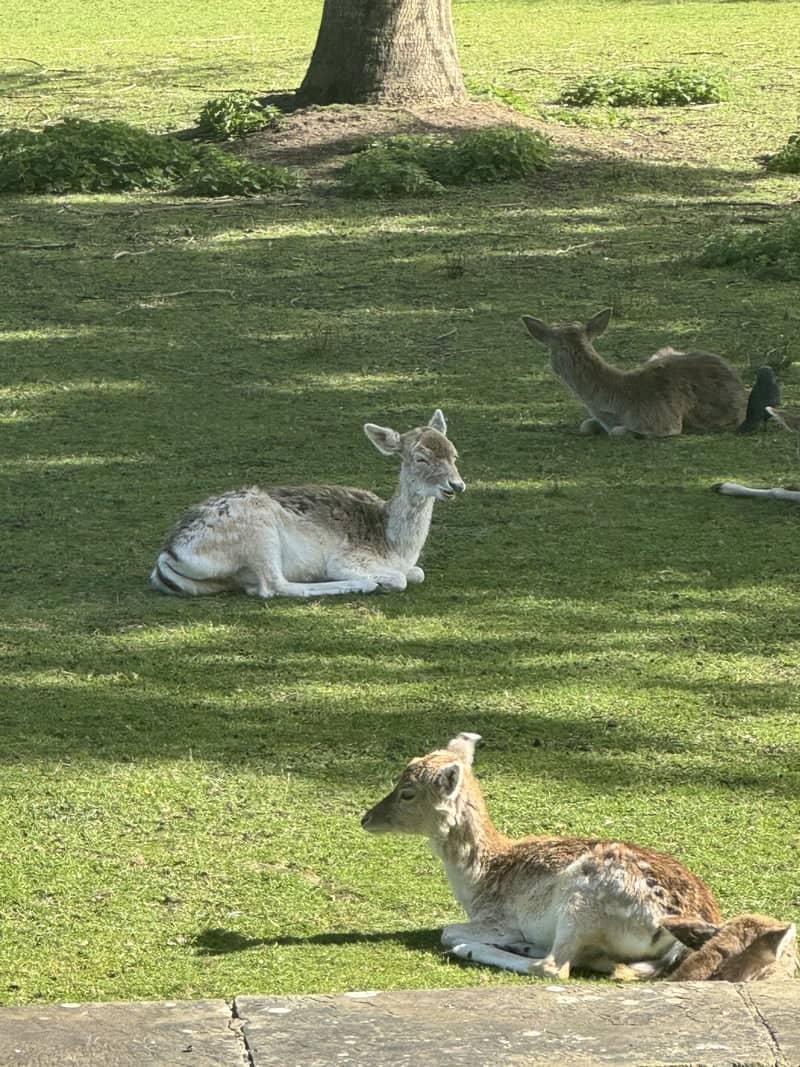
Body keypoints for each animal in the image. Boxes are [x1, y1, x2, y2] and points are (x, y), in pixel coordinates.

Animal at [150, 410, 464, 599]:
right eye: (420, 457)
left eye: (454, 454)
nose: (456, 485)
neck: (395, 546)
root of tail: (168, 553)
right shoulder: (350, 558)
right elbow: (401, 579)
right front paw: (380, 581)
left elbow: (418, 573)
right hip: (258, 533)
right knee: (274, 585)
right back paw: (361, 584)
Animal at [362, 733, 795, 982]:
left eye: (407, 792)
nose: (365, 817)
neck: (479, 879)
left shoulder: (499, 918)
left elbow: (448, 929)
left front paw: (476, 942)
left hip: (581, 901)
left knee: (555, 967)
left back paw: (482, 950)